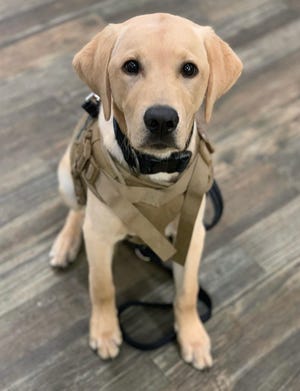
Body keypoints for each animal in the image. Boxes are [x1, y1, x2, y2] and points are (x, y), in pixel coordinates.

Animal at [48, 13, 241, 370]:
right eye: (131, 66)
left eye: (189, 69)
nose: (161, 120)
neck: (154, 168)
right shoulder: (99, 236)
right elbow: (102, 287)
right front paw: (105, 330)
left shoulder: (191, 234)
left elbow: (187, 292)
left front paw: (192, 335)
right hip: (67, 177)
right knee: (78, 208)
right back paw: (66, 243)